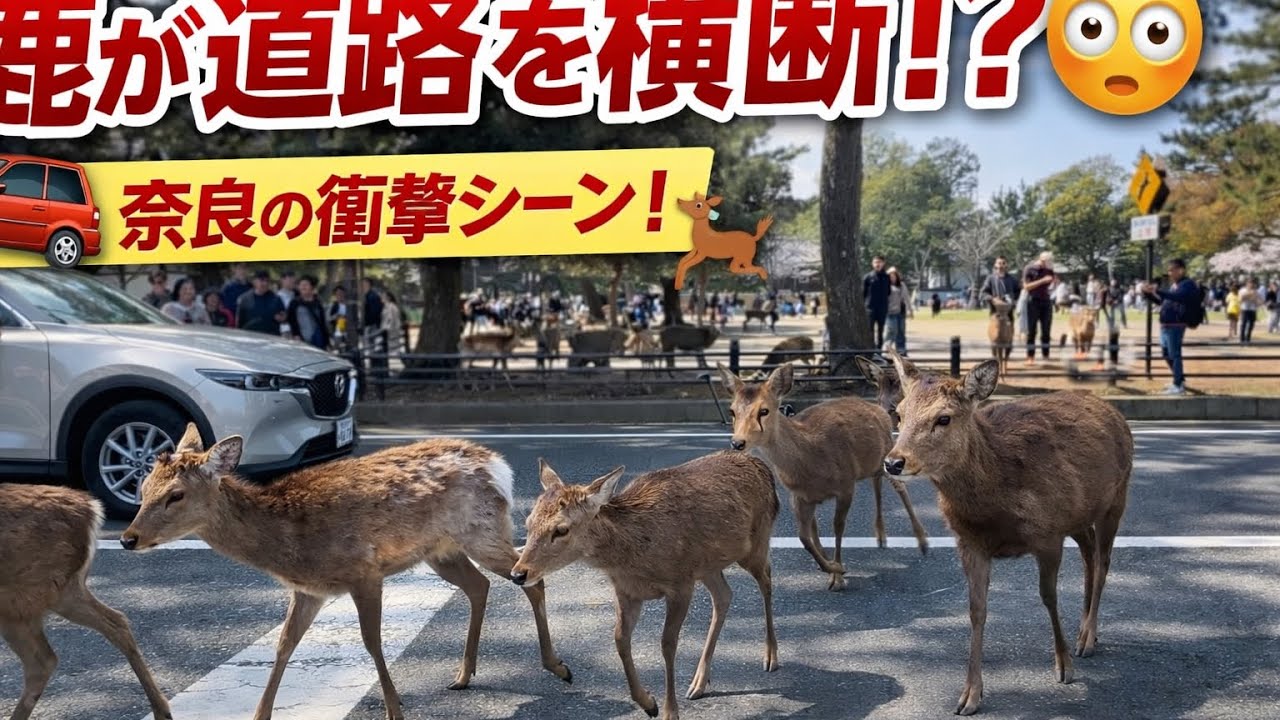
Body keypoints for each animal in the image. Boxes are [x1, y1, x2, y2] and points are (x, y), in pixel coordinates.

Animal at [1, 484, 173, 720]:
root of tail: (91, 508)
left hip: (24, 596)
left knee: (42, 660)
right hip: (61, 589)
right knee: (117, 622)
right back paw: (162, 710)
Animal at [120, 425, 573, 720]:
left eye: (175, 495)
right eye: (143, 488)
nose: (127, 538)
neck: (288, 544)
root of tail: (498, 465)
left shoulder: (364, 571)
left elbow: (372, 642)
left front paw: (395, 710)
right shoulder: (309, 591)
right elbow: (283, 646)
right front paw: (260, 714)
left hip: (480, 531)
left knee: (528, 577)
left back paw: (557, 666)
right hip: (440, 551)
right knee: (479, 585)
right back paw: (463, 675)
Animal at [511, 453, 780, 720]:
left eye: (561, 529)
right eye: (528, 522)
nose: (518, 573)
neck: (634, 556)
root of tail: (762, 466)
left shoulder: (680, 584)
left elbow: (667, 644)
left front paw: (670, 711)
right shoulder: (626, 591)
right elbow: (620, 639)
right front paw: (648, 703)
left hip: (756, 542)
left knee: (766, 580)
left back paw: (770, 657)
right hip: (707, 566)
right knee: (724, 596)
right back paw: (699, 683)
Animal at [717, 362, 929, 591]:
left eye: (764, 410)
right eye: (732, 411)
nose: (738, 443)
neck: (811, 462)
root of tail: (877, 408)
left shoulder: (846, 484)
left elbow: (838, 527)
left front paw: (838, 577)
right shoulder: (799, 496)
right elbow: (805, 536)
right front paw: (832, 567)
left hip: (889, 454)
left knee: (900, 487)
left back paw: (922, 542)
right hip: (871, 465)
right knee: (876, 482)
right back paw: (880, 537)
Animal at [881, 349, 1133, 716]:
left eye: (943, 418)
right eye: (898, 413)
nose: (894, 462)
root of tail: (1115, 411)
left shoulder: (1048, 534)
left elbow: (1048, 596)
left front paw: (1064, 666)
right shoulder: (970, 543)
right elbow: (976, 610)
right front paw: (969, 695)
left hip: (1117, 499)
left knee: (1103, 561)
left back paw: (1087, 638)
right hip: (1079, 515)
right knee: (1089, 553)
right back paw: (1085, 630)